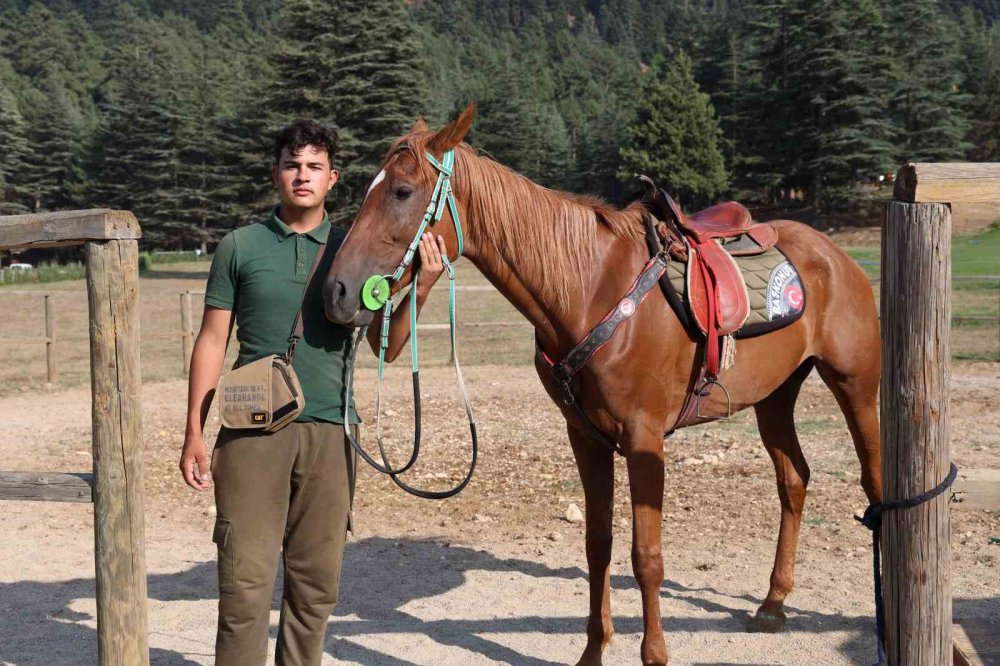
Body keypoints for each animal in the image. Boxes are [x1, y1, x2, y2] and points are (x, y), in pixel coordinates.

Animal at [324, 106, 880, 660]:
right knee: (794, 481)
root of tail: (833, 253)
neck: (588, 286)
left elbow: (646, 556)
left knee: (872, 485)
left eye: (401, 191)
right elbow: (599, 546)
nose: (338, 291)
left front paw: (654, 654)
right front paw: (593, 649)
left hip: (855, 385)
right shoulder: (586, 436)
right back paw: (773, 603)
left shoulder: (643, 438)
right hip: (775, 396)